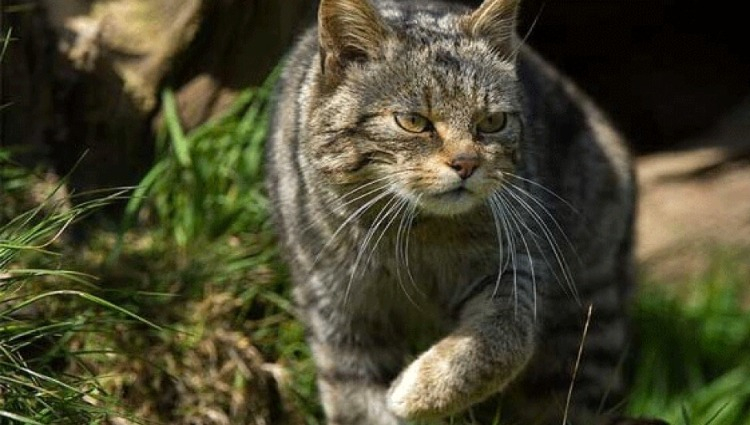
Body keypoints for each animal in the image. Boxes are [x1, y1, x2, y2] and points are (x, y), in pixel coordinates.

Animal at [268, 0, 648, 422]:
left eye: (492, 121)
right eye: (413, 121)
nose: (467, 163)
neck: (417, 237)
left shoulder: (515, 267)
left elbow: (502, 343)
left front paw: (417, 391)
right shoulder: (338, 310)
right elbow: (356, 400)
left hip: (585, 318)